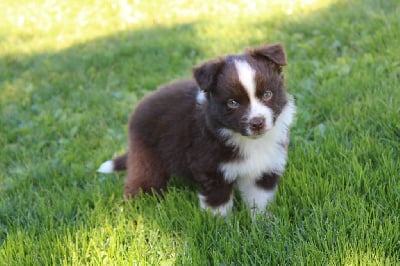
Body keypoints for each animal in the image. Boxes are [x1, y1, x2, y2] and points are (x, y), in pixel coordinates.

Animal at [98, 43, 296, 217]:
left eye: (267, 94)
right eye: (233, 103)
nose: (257, 122)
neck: (249, 141)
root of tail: (139, 107)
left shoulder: (265, 167)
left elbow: (260, 201)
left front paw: (263, 224)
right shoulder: (211, 168)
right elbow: (218, 205)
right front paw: (222, 228)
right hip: (147, 157)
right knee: (142, 182)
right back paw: (135, 211)